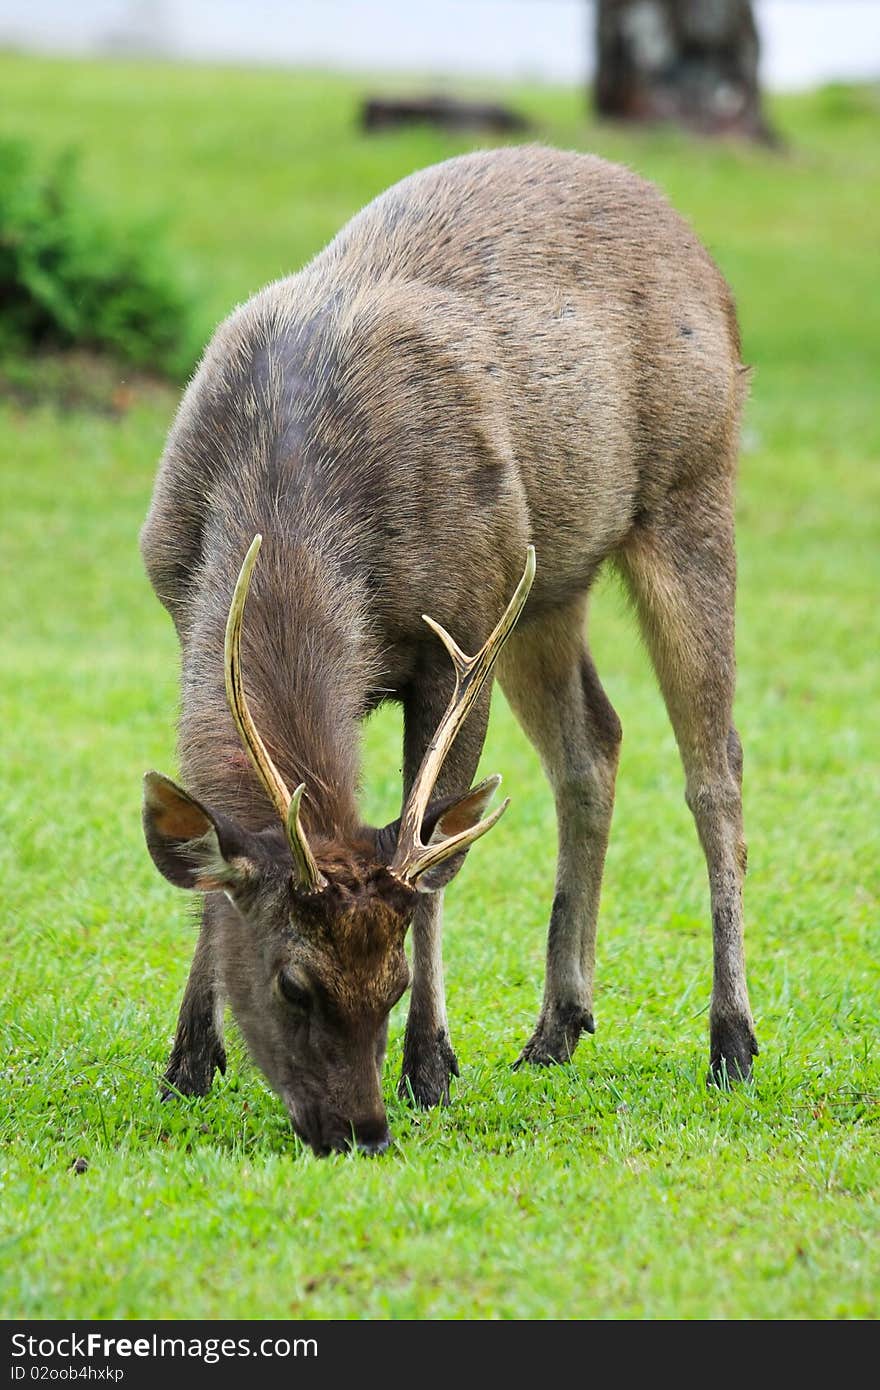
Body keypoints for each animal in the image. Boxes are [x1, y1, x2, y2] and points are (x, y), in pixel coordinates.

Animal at [140, 146, 756, 1156]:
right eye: (292, 982)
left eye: (389, 987)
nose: (358, 1130)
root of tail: (703, 254)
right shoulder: (175, 598)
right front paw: (188, 1057)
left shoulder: (459, 634)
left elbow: (431, 849)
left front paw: (431, 1063)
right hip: (546, 586)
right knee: (594, 744)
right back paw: (558, 1026)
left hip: (689, 488)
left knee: (716, 770)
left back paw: (731, 1039)